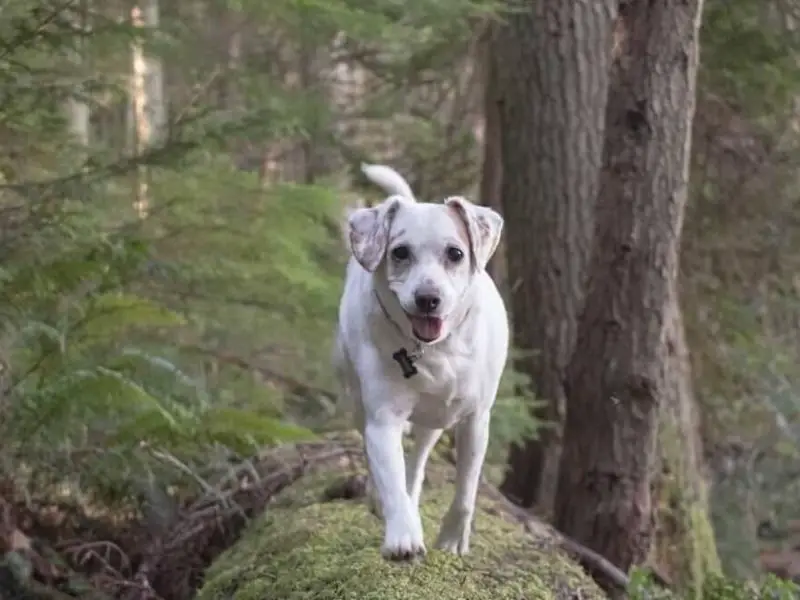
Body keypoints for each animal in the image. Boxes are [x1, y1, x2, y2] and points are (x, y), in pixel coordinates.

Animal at [332, 163, 510, 556]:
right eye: (399, 252)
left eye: (455, 253)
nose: (428, 298)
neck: (435, 350)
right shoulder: (383, 418)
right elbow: (391, 478)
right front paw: (403, 535)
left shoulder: (476, 420)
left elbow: (466, 491)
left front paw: (453, 538)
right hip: (356, 399)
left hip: (436, 420)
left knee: (419, 460)